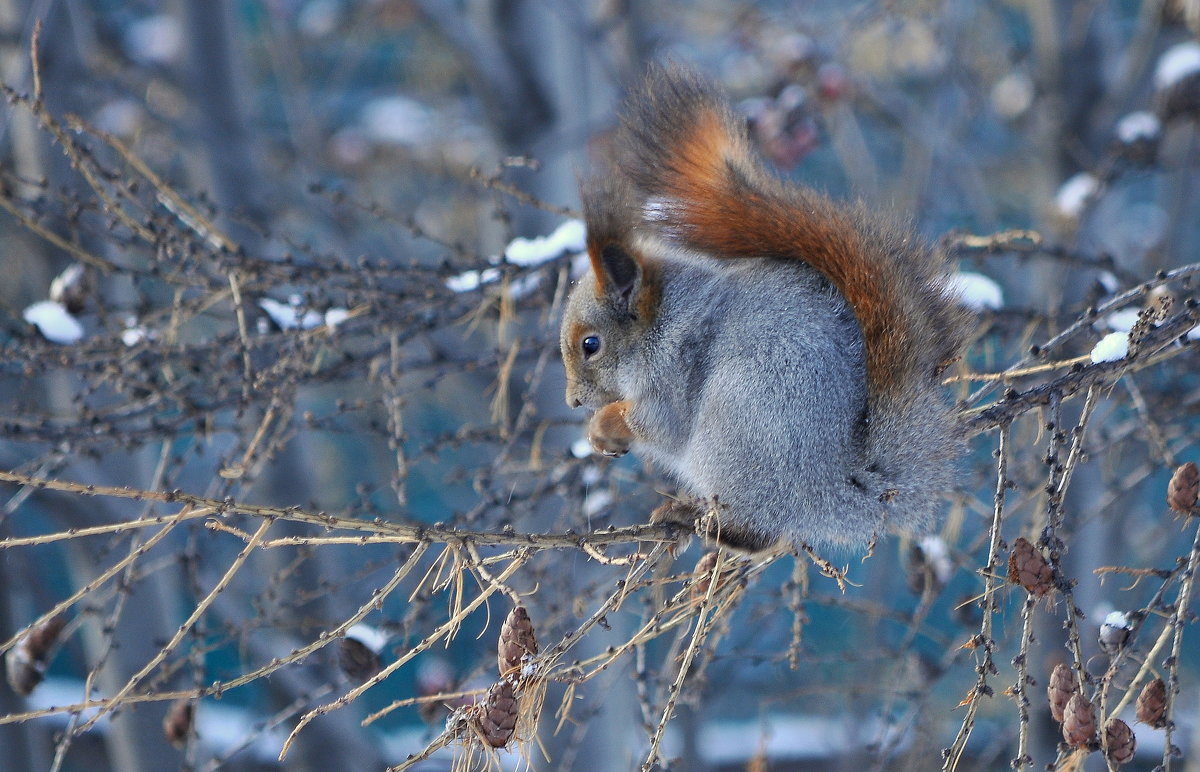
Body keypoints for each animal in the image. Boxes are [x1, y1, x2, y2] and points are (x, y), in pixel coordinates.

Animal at [556, 64, 969, 549]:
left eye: (591, 344)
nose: (572, 402)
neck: (661, 320)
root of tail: (837, 491)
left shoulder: (671, 370)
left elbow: (660, 424)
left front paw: (603, 426)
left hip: (733, 422)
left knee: (758, 528)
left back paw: (699, 519)